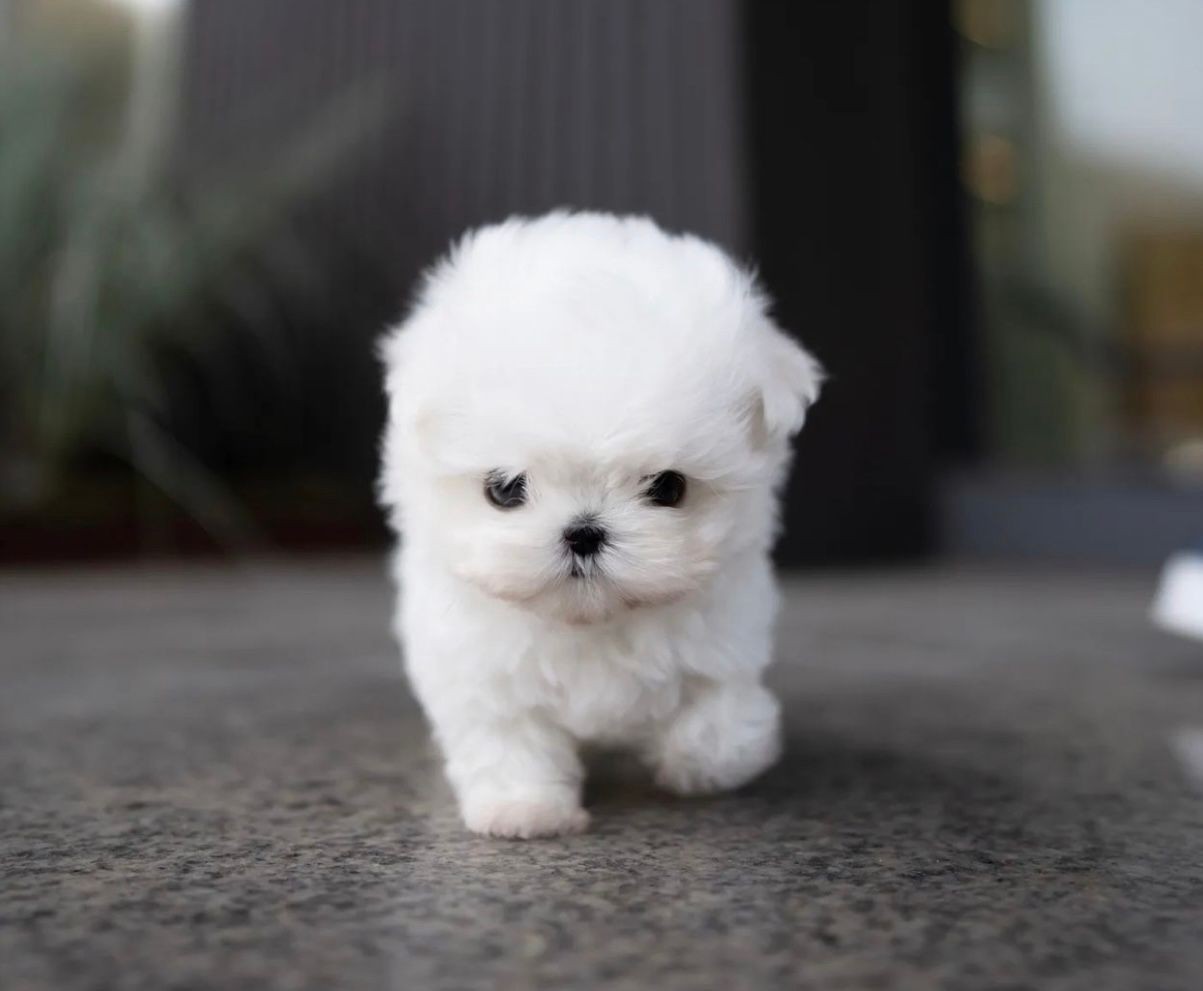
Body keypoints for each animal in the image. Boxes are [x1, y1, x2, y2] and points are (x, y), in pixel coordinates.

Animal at [380, 210, 822, 837]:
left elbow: (715, 717)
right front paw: (525, 810)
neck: (592, 623)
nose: (584, 532)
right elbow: (509, 740)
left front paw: (704, 766)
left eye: (668, 487)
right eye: (505, 489)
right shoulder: (482, 673)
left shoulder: (725, 641)